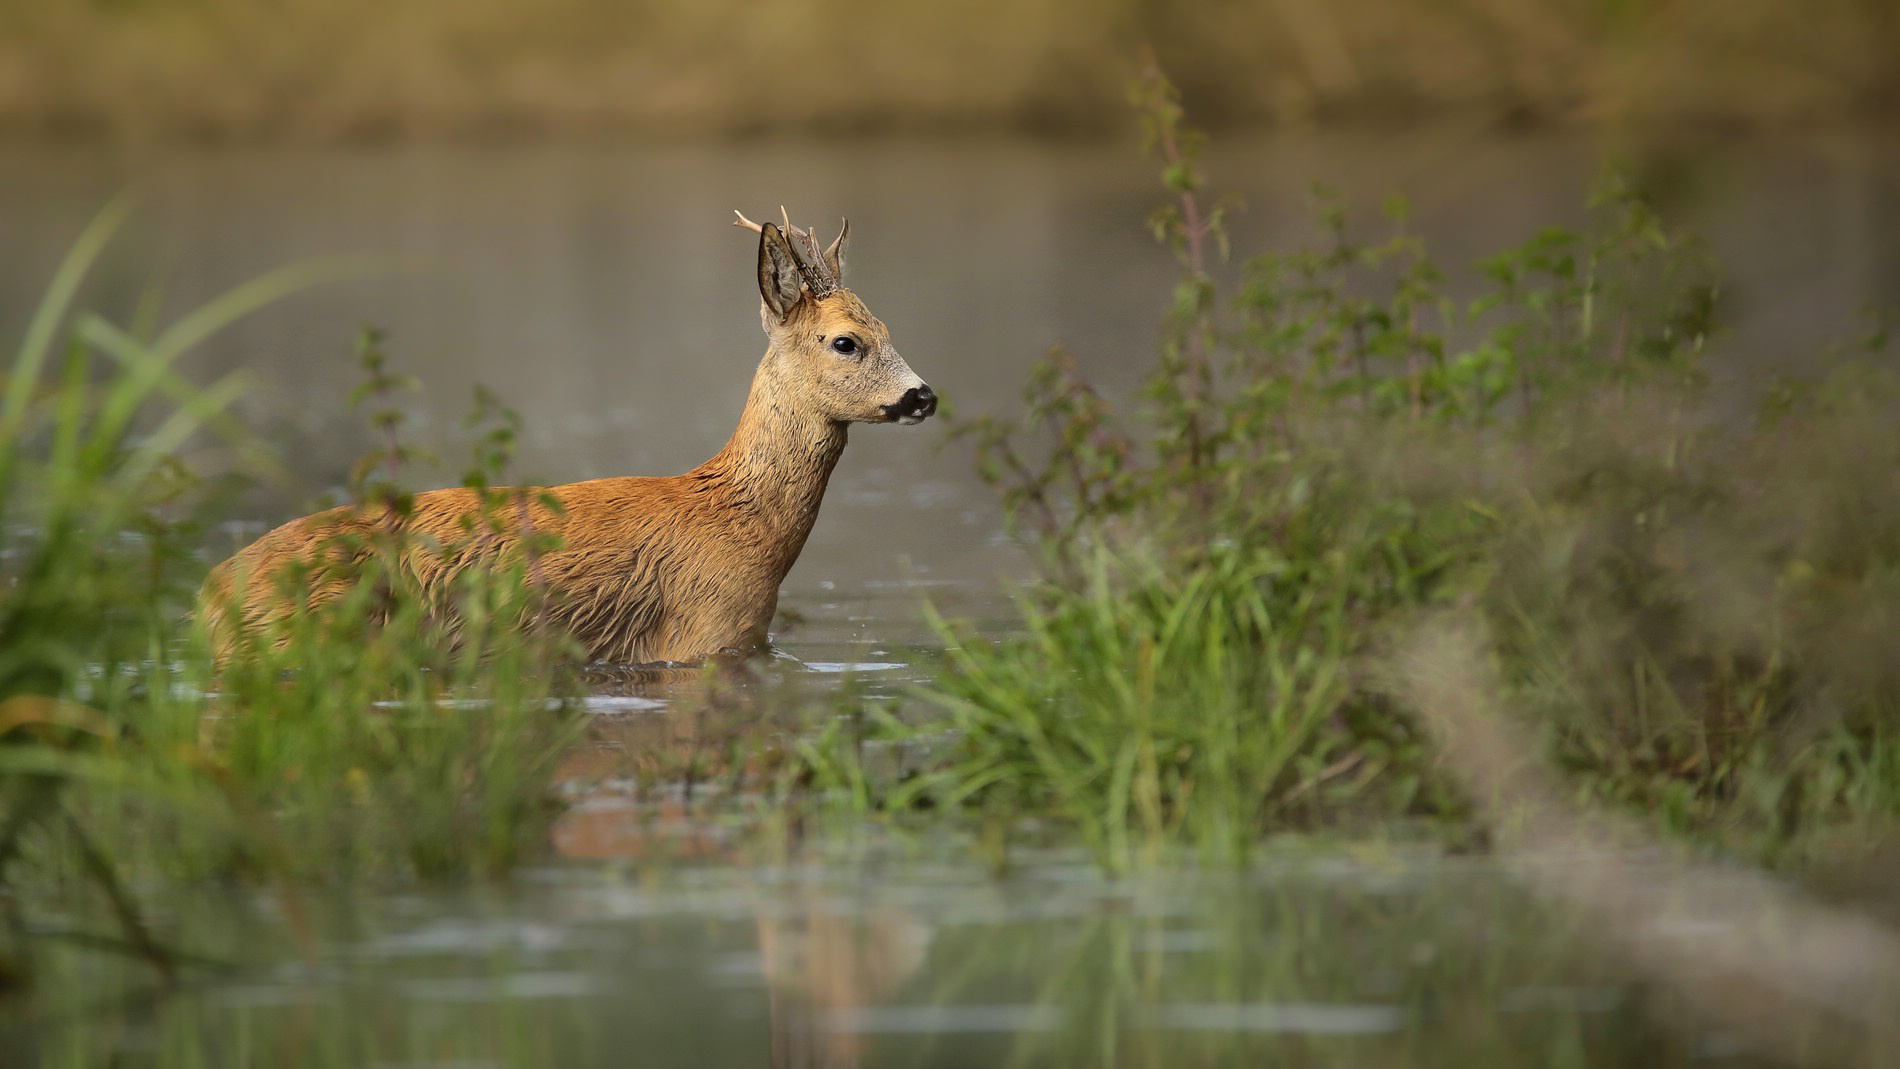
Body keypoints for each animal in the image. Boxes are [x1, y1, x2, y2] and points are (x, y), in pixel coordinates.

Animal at [204, 208, 938, 664]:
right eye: (845, 341)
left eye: (889, 328)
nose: (924, 396)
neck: (739, 520)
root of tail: (208, 597)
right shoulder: (704, 631)